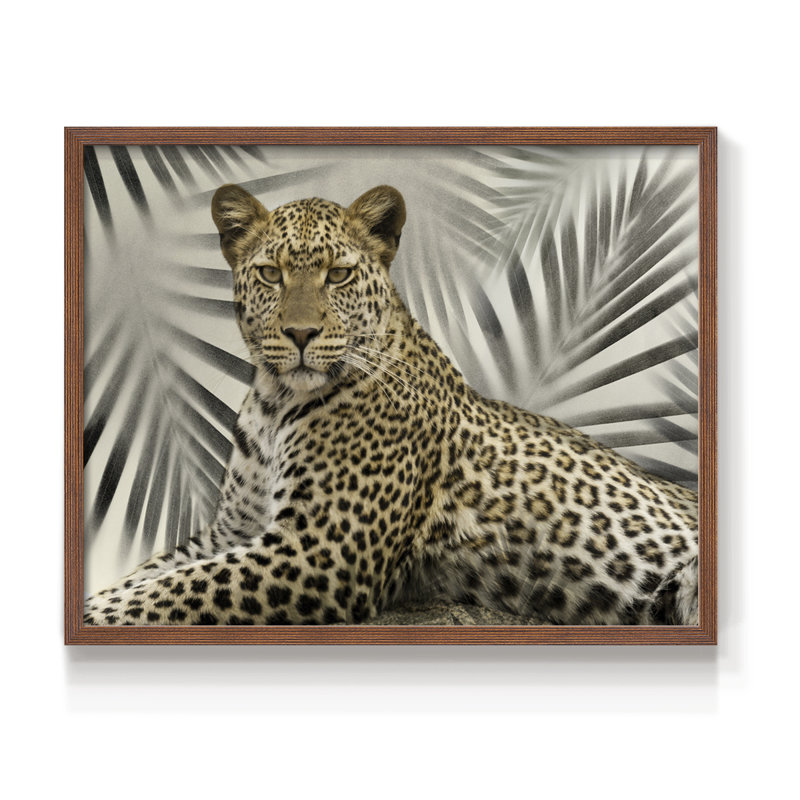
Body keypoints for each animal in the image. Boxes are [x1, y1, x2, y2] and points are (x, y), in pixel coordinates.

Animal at [83, 183, 700, 627]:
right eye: (270, 273)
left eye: (338, 274)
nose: (301, 334)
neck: (276, 402)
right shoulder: (231, 532)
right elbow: (149, 575)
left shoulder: (320, 550)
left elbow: (167, 592)